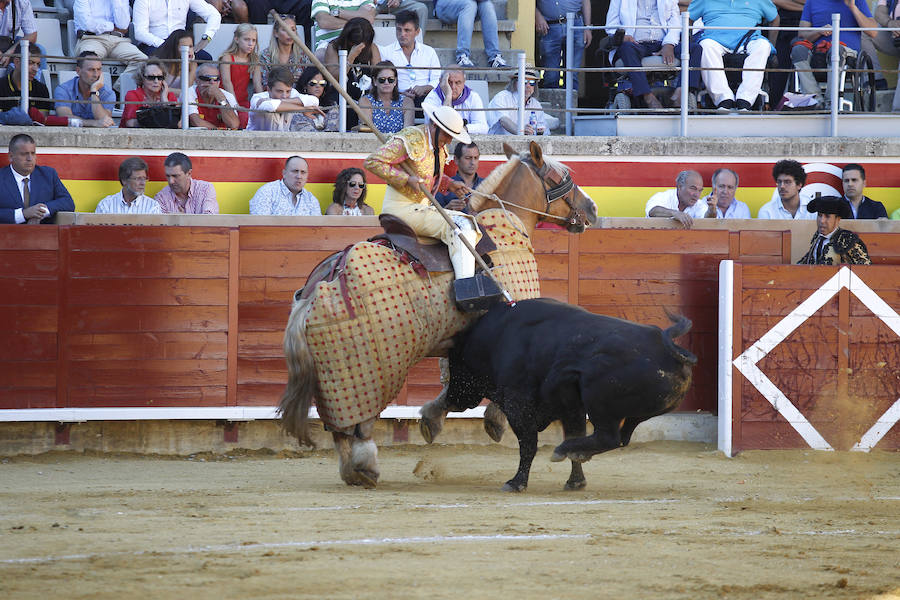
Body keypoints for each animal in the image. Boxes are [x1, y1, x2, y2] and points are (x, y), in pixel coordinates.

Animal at [446, 298, 700, 492]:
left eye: (454, 361)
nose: (451, 399)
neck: (497, 337)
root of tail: (666, 345)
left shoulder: (517, 403)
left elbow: (528, 444)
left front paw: (516, 483)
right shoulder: (571, 405)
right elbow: (574, 430)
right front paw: (576, 481)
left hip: (599, 404)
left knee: (608, 437)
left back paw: (565, 450)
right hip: (632, 412)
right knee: (621, 438)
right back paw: (577, 451)